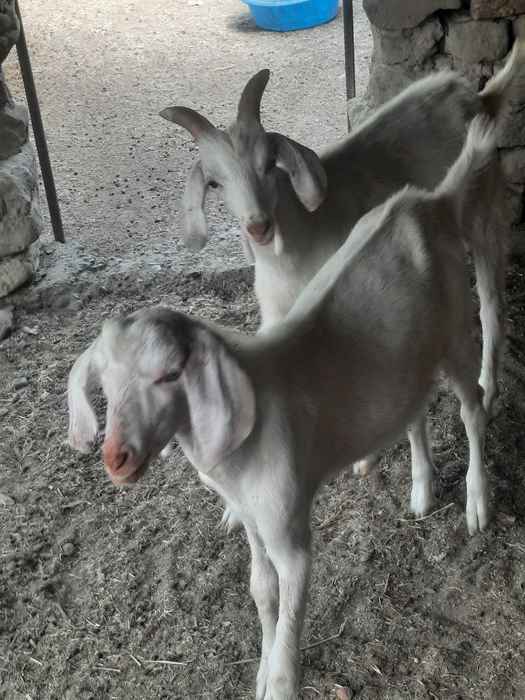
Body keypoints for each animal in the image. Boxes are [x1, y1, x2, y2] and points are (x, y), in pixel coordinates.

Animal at [69, 114, 502, 700]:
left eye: (171, 373)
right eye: (106, 386)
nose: (116, 458)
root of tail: (430, 201)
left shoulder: (285, 517)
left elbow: (293, 598)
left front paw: (279, 679)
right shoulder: (254, 518)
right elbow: (261, 588)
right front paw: (260, 665)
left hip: (456, 330)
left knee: (472, 407)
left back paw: (477, 500)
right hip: (410, 356)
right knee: (412, 408)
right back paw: (420, 490)